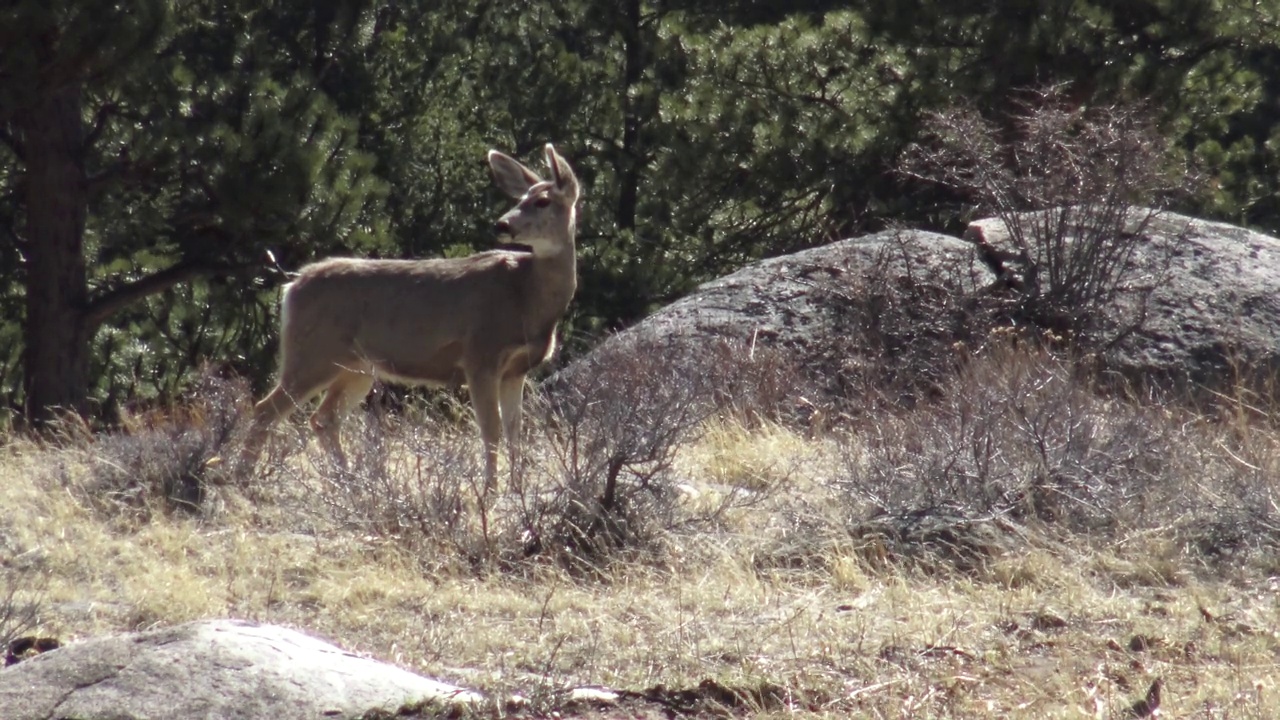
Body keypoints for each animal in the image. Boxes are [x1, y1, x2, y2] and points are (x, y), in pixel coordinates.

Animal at [238, 142, 583, 484]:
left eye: (541, 201)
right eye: (521, 200)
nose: (502, 224)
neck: (526, 299)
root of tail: (290, 289)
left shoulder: (516, 369)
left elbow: (515, 433)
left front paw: (517, 489)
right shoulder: (480, 354)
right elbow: (491, 431)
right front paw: (490, 491)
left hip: (356, 367)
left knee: (323, 418)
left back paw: (350, 482)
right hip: (313, 352)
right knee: (266, 410)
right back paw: (244, 478)